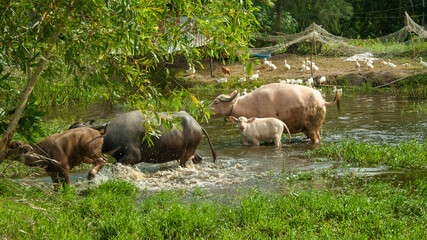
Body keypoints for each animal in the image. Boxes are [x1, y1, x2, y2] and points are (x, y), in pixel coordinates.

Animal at [209, 82, 342, 142]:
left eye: (216, 103)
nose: (206, 112)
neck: (248, 104)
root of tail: (322, 101)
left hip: (312, 129)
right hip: (309, 129)